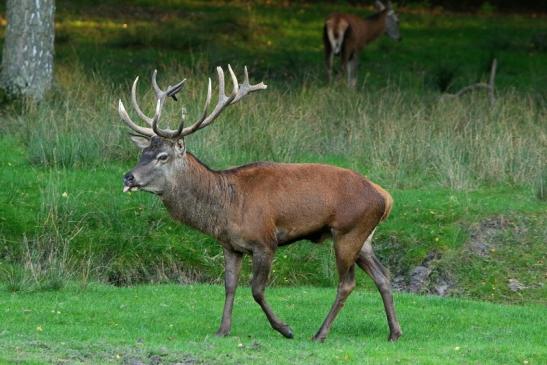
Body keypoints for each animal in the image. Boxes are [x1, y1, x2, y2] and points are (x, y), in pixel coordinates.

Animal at [119, 66, 402, 342]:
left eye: (162, 156)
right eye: (142, 153)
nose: (128, 176)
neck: (226, 206)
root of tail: (385, 196)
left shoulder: (265, 241)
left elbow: (256, 289)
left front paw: (285, 328)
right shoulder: (230, 245)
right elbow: (229, 285)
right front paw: (222, 330)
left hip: (348, 231)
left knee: (347, 283)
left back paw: (320, 334)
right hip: (363, 238)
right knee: (383, 275)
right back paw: (394, 332)